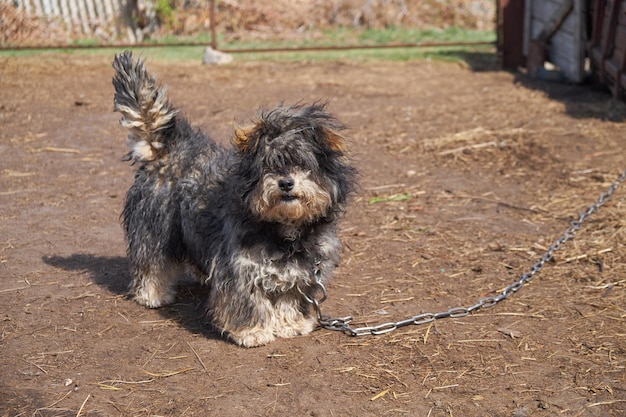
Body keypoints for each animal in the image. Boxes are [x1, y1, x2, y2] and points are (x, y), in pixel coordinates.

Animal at [112, 51, 356, 344]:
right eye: (268, 165)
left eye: (302, 163)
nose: (286, 183)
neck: (283, 230)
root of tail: (165, 148)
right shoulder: (239, 268)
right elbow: (247, 302)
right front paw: (253, 331)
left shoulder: (300, 272)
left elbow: (289, 297)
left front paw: (291, 323)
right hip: (155, 228)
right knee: (151, 261)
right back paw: (152, 294)